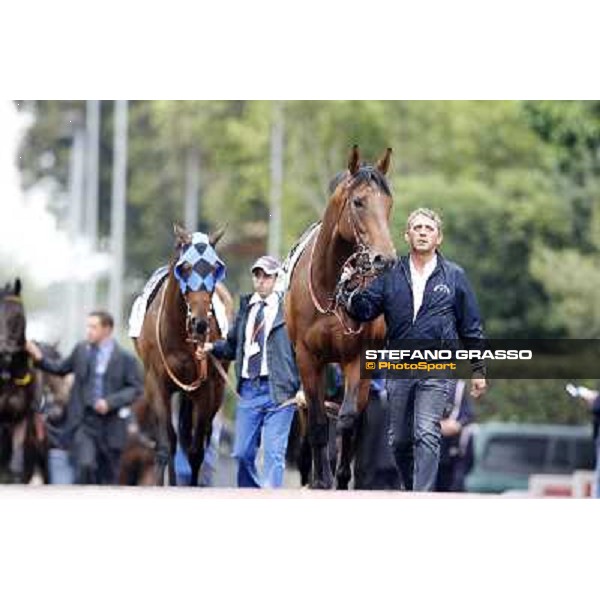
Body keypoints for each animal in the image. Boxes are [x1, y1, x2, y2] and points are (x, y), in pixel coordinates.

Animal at [135, 224, 233, 482]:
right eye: (186, 267)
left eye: (215, 268)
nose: (200, 323)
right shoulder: (156, 382)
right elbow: (166, 444)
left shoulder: (205, 387)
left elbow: (196, 450)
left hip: (215, 390)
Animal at [284, 145, 396, 488]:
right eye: (358, 202)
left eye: (388, 204)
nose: (385, 258)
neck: (330, 288)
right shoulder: (308, 357)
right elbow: (319, 422)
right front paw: (320, 480)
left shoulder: (358, 356)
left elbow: (348, 420)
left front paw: (340, 478)